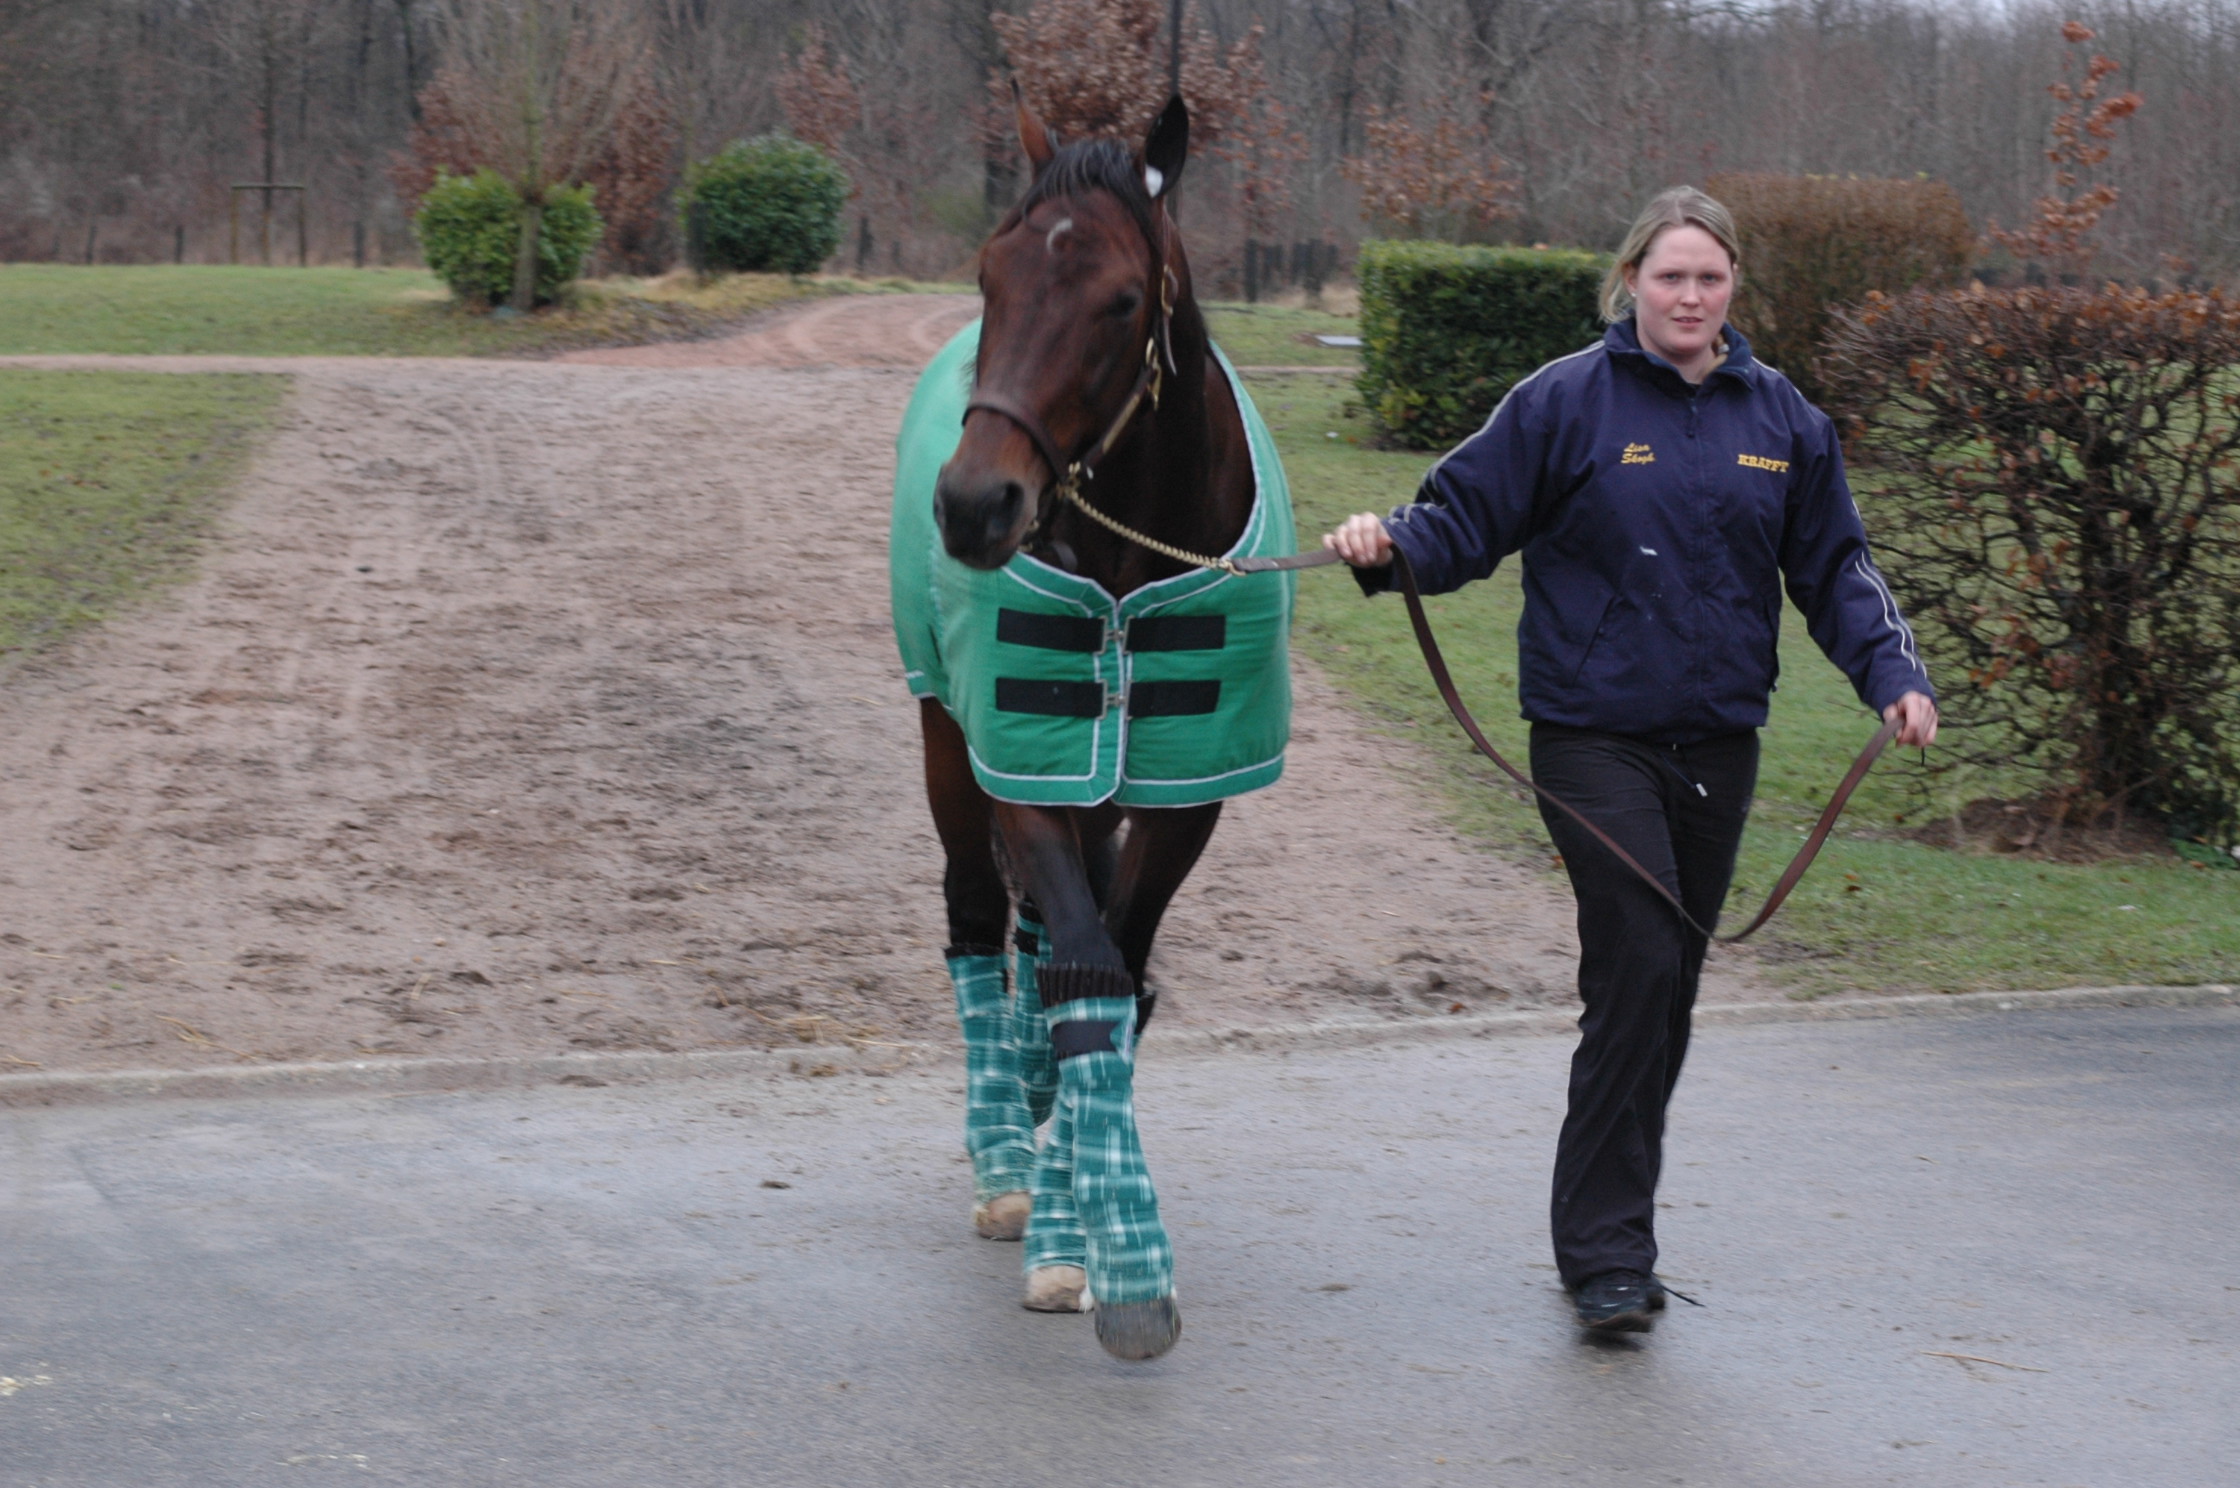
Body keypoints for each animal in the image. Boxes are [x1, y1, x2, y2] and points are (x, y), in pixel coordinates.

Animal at [882, 95, 1290, 1362]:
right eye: (988, 273)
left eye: (1117, 299)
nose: (973, 504)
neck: (1124, 559)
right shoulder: (1021, 759)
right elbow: (1082, 966)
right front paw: (1093, 1239)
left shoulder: (1182, 792)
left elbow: (1116, 969)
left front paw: (1094, 1215)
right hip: (946, 742)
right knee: (979, 921)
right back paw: (1004, 1156)